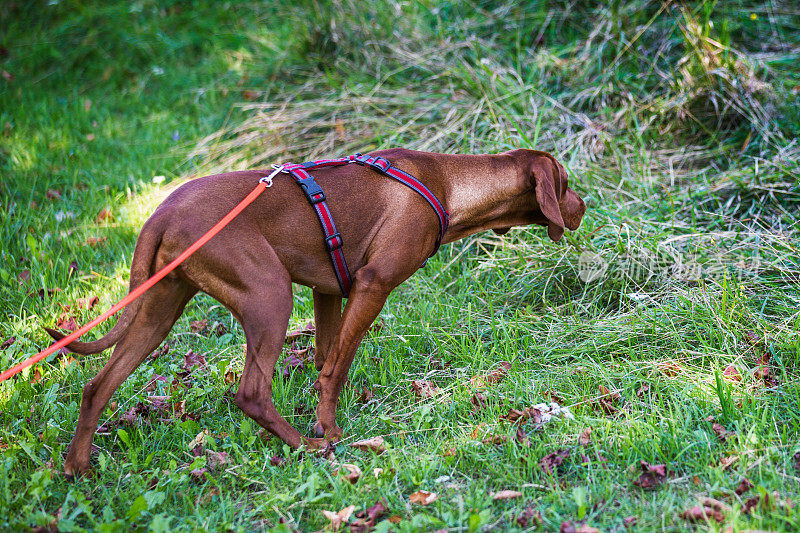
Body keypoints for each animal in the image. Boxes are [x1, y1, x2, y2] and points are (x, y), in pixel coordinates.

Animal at [50, 148, 588, 476]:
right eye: (566, 183)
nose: (584, 206)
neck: (450, 183)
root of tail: (159, 214)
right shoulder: (371, 286)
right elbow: (337, 368)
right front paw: (328, 430)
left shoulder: (328, 291)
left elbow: (325, 358)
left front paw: (323, 416)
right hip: (270, 294)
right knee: (251, 392)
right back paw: (307, 448)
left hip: (160, 309)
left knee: (97, 385)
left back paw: (77, 465)